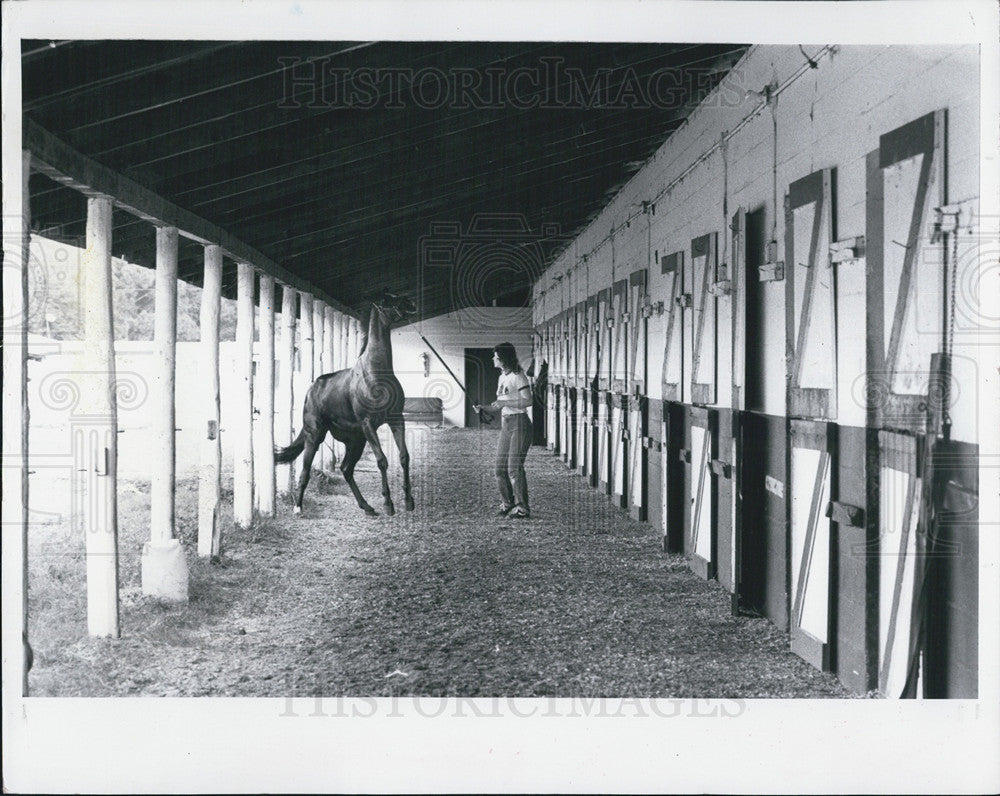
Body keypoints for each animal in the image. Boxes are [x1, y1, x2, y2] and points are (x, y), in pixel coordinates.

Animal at [274, 290, 414, 516]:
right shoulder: (368, 424)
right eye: (387, 300)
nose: (411, 304)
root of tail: (312, 390)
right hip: (315, 436)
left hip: (356, 440)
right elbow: (382, 461)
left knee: (346, 469)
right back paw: (298, 507)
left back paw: (367, 507)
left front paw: (409, 501)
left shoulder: (396, 420)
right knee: (305, 471)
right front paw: (388, 503)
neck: (376, 373)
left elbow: (404, 457)